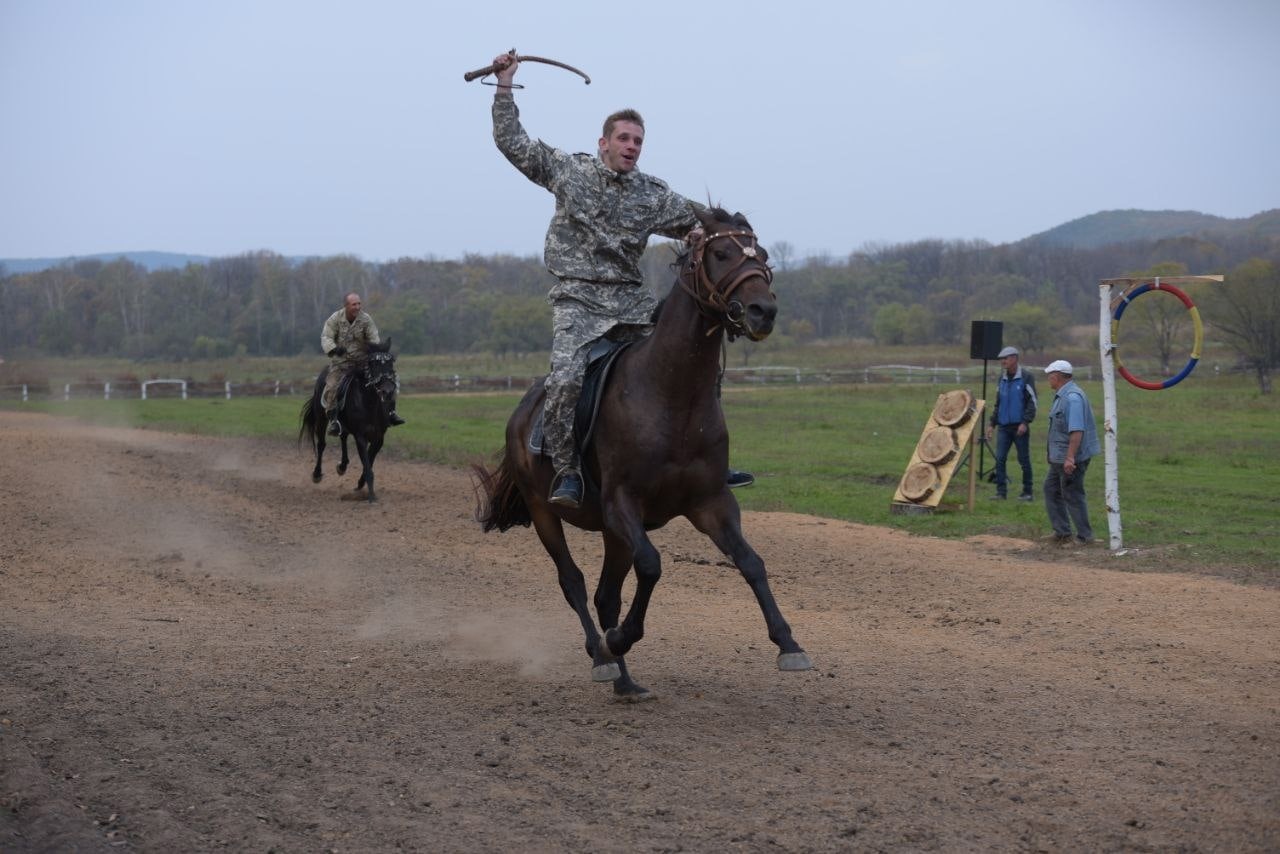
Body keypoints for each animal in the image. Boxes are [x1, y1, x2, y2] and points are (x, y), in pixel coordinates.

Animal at [300, 338, 396, 504]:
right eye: (374, 364)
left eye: (391, 364)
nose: (388, 391)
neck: (369, 403)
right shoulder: (360, 437)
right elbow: (367, 465)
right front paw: (371, 496)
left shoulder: (378, 438)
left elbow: (369, 462)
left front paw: (360, 485)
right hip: (321, 420)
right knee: (322, 444)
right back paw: (317, 474)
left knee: (343, 437)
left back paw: (342, 466)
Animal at [476, 208, 814, 701]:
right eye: (720, 252)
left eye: (764, 255)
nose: (763, 311)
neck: (671, 395)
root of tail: (524, 409)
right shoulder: (623, 506)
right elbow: (652, 566)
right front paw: (619, 639)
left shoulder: (711, 503)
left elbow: (751, 562)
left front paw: (789, 644)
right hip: (545, 513)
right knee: (574, 583)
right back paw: (603, 657)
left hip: (611, 535)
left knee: (605, 595)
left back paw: (625, 680)